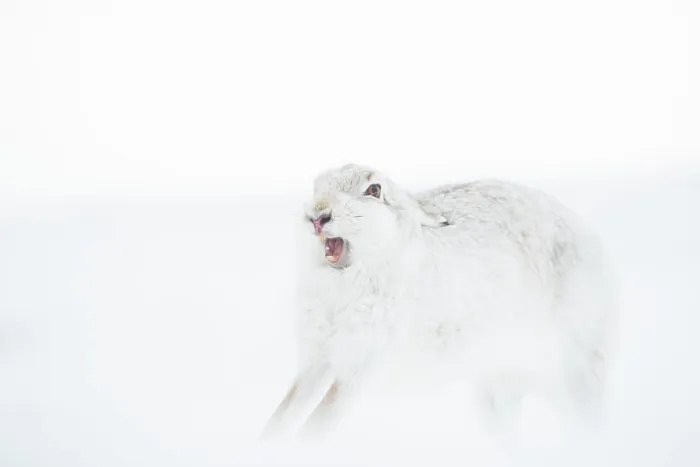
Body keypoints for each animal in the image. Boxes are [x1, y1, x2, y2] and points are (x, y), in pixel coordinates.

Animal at [260, 163, 618, 441]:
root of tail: (592, 239)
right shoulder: (318, 359)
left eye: (374, 190)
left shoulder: (361, 365)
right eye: (317, 185)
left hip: (571, 363)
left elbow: (320, 419)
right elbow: (289, 406)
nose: (317, 216)